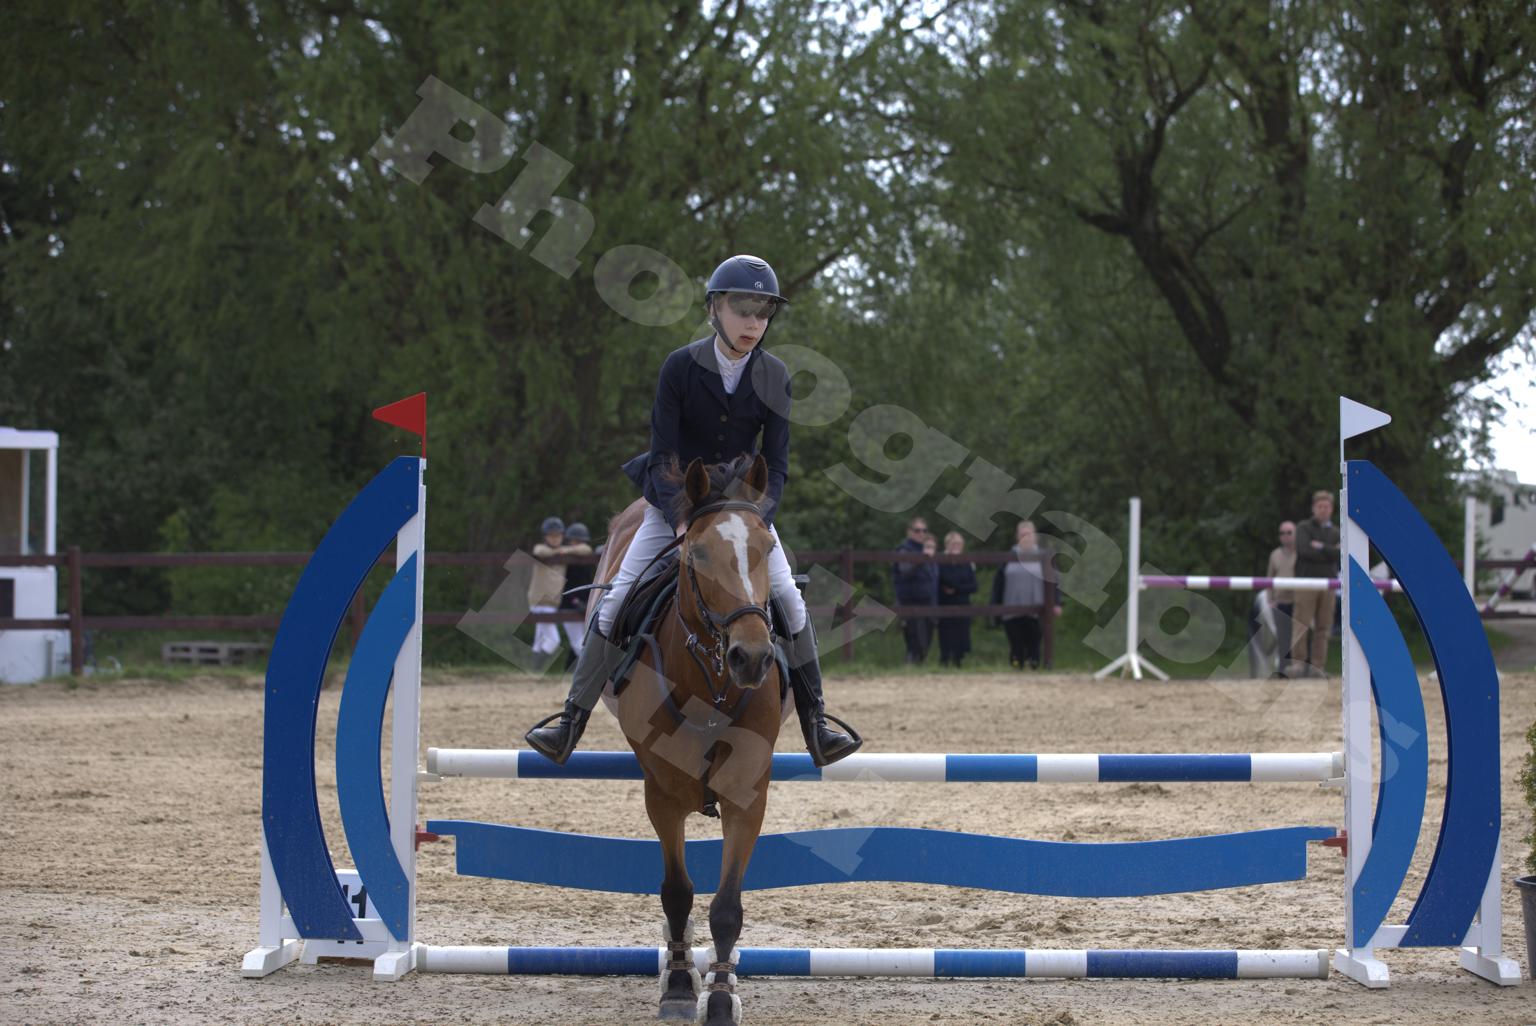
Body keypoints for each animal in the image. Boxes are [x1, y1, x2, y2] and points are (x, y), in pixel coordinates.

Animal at [588, 454, 785, 1025]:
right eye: (698, 553)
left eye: (766, 550)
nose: (752, 658)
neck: (711, 681)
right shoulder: (663, 792)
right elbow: (677, 893)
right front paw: (678, 985)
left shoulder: (747, 794)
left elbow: (726, 908)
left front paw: (719, 997)